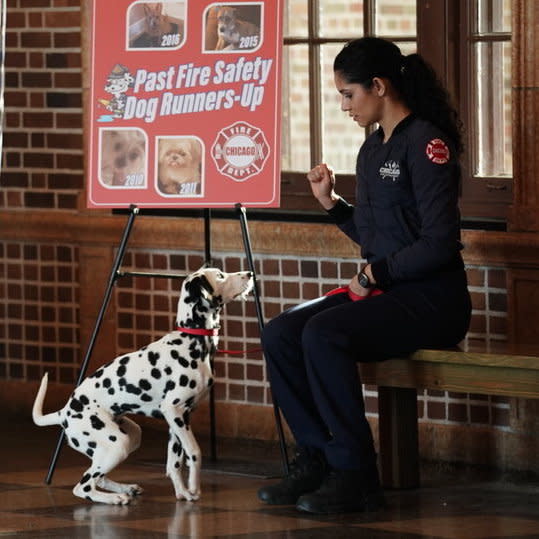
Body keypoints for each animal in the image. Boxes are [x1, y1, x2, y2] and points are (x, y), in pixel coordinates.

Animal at [32, 268, 255, 506]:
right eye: (220, 276)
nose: (250, 273)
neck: (190, 341)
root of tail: (64, 412)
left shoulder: (179, 420)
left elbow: (174, 463)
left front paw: (183, 492)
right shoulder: (174, 410)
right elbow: (194, 452)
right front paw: (194, 487)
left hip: (127, 438)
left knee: (97, 477)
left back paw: (125, 488)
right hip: (117, 444)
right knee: (83, 486)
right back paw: (115, 498)